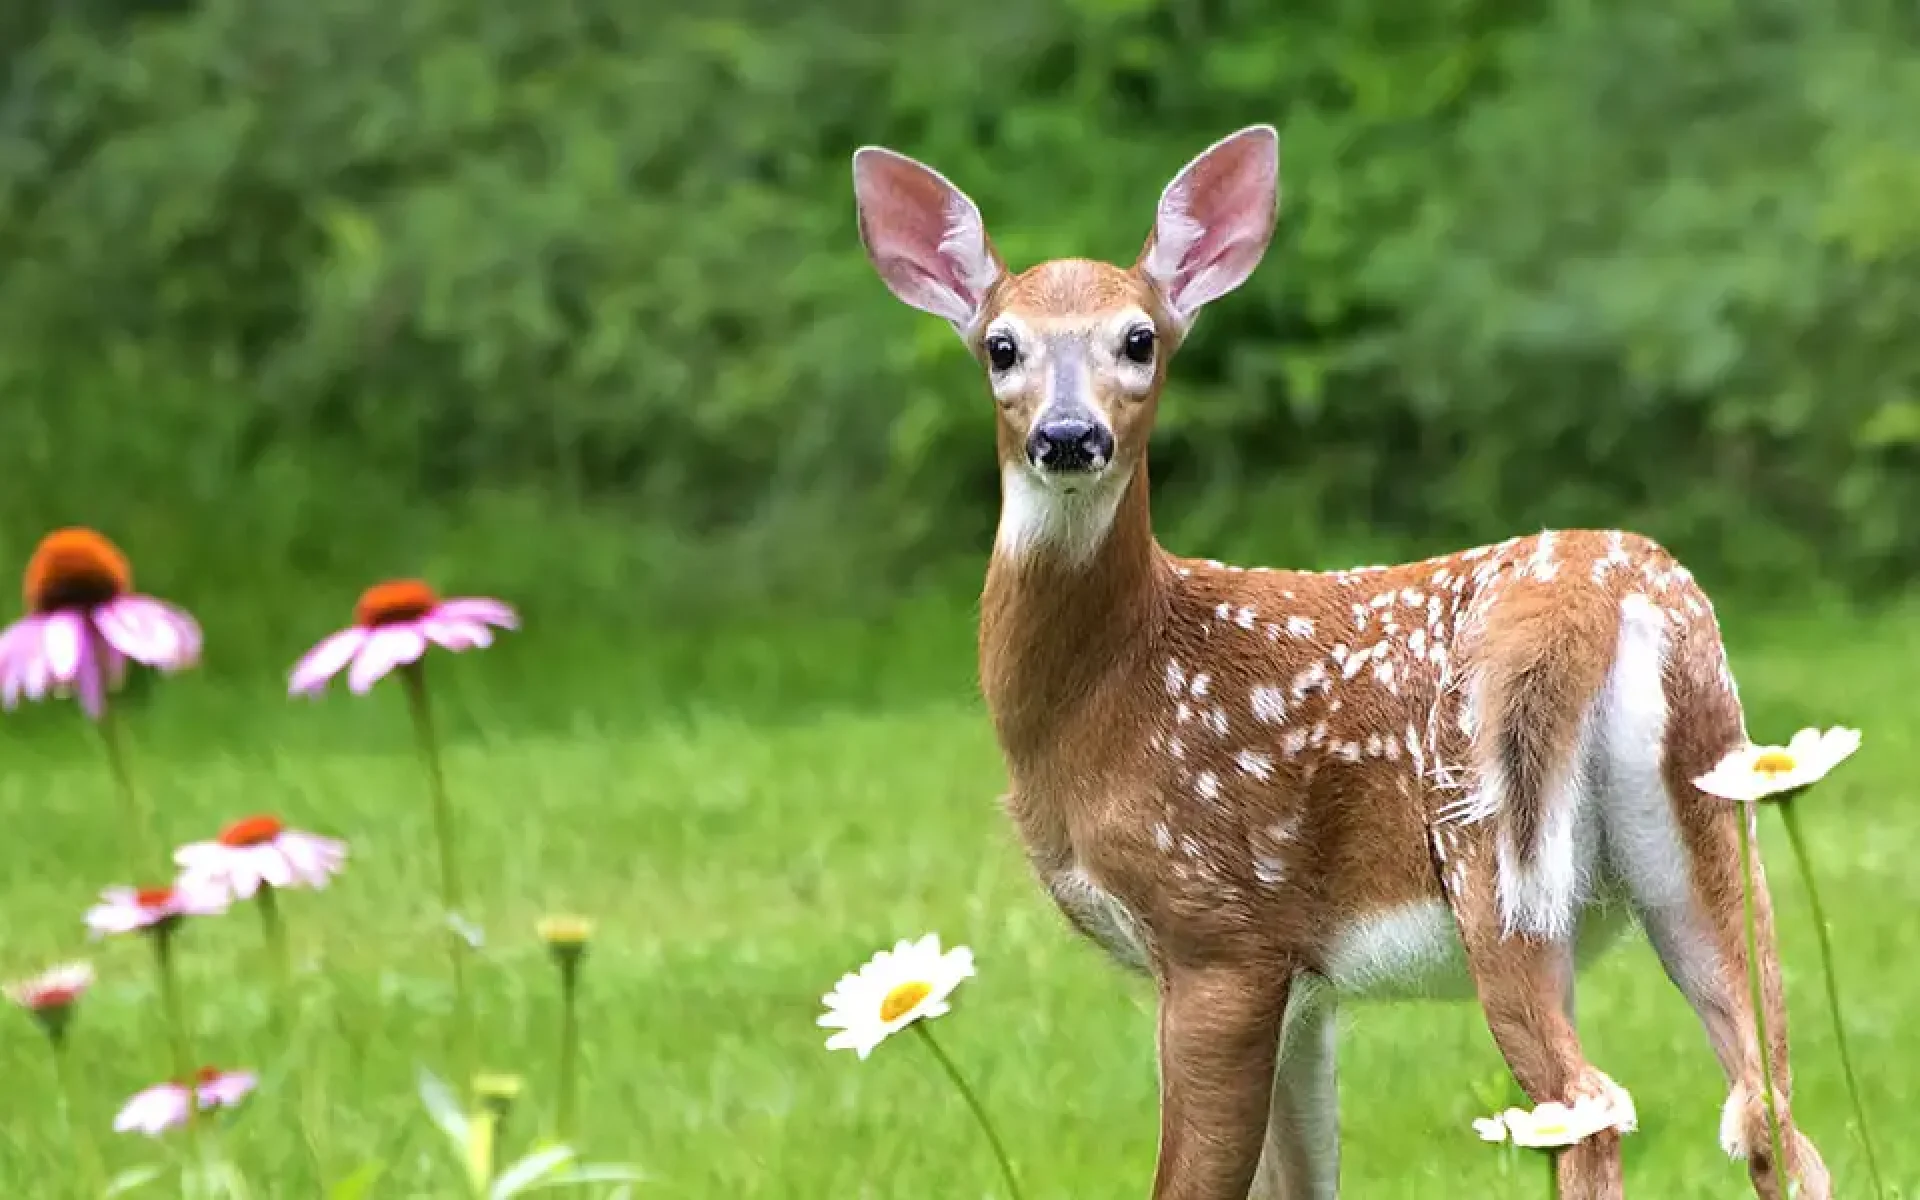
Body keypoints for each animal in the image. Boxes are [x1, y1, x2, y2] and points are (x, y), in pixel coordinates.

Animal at [848, 125, 1833, 1200]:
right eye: (1002, 346)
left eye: (1140, 340)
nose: (1069, 435)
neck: (1108, 690)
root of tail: (1599, 597)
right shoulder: (1306, 987)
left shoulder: (1220, 932)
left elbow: (1194, 1183)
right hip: (1710, 819)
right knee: (1771, 1107)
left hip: (1493, 855)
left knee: (1594, 1109)